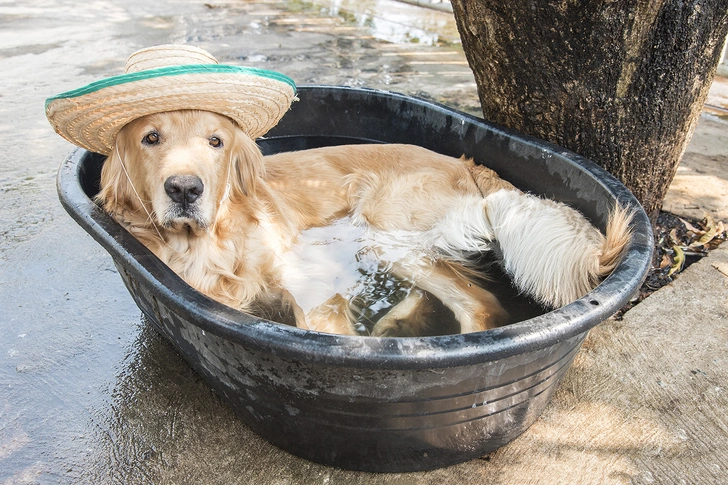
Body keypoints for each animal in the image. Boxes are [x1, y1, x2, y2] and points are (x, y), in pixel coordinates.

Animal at [96, 109, 632, 336]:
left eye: (216, 141)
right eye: (151, 138)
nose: (185, 190)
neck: (209, 244)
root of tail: (464, 162)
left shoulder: (313, 284)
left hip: (379, 231)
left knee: (479, 304)